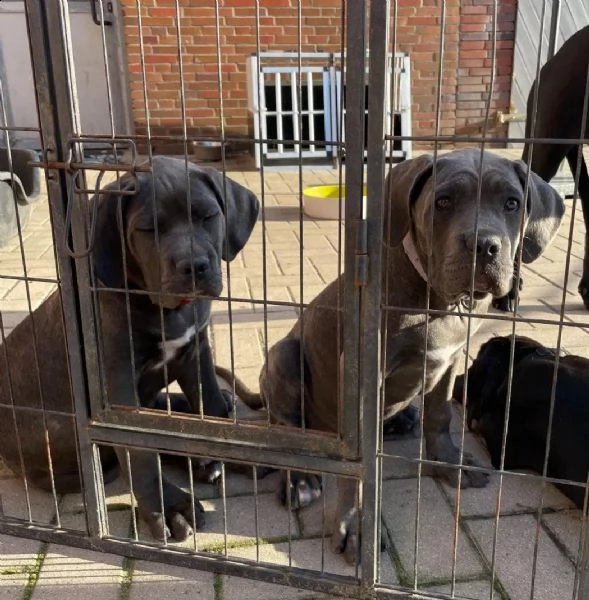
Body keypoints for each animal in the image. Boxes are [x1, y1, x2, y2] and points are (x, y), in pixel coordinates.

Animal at [0, 157, 260, 540]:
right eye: (148, 229)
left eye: (208, 216)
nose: (194, 266)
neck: (162, 308)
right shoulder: (117, 385)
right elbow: (138, 450)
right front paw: (168, 510)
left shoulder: (195, 351)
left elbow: (209, 401)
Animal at [220, 149, 564, 564]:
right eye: (443, 202)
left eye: (512, 203)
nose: (484, 245)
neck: (438, 301)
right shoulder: (361, 375)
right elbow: (361, 465)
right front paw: (357, 525)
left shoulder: (450, 361)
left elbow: (440, 415)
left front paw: (449, 463)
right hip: (283, 356)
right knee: (288, 427)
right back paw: (300, 478)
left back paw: (401, 419)